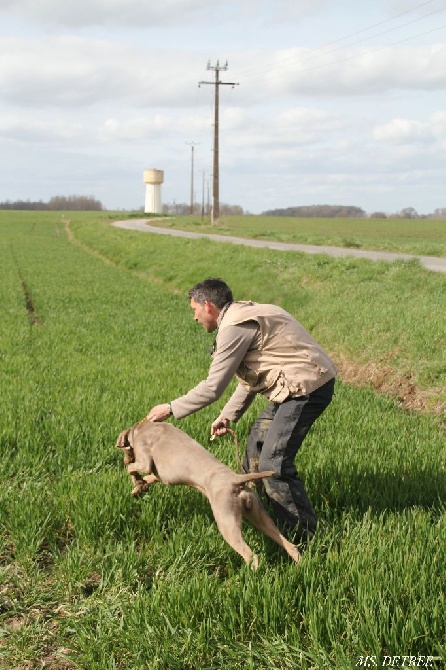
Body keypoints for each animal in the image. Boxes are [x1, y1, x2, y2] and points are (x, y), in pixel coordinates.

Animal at [116, 422, 302, 568]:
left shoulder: (146, 460)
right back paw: (301, 565)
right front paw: (139, 487)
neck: (142, 427)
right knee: (288, 544)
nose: (123, 457)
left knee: (250, 555)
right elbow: (150, 476)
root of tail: (237, 479)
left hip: (226, 520)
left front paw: (136, 480)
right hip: (258, 514)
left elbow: (134, 468)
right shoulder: (163, 476)